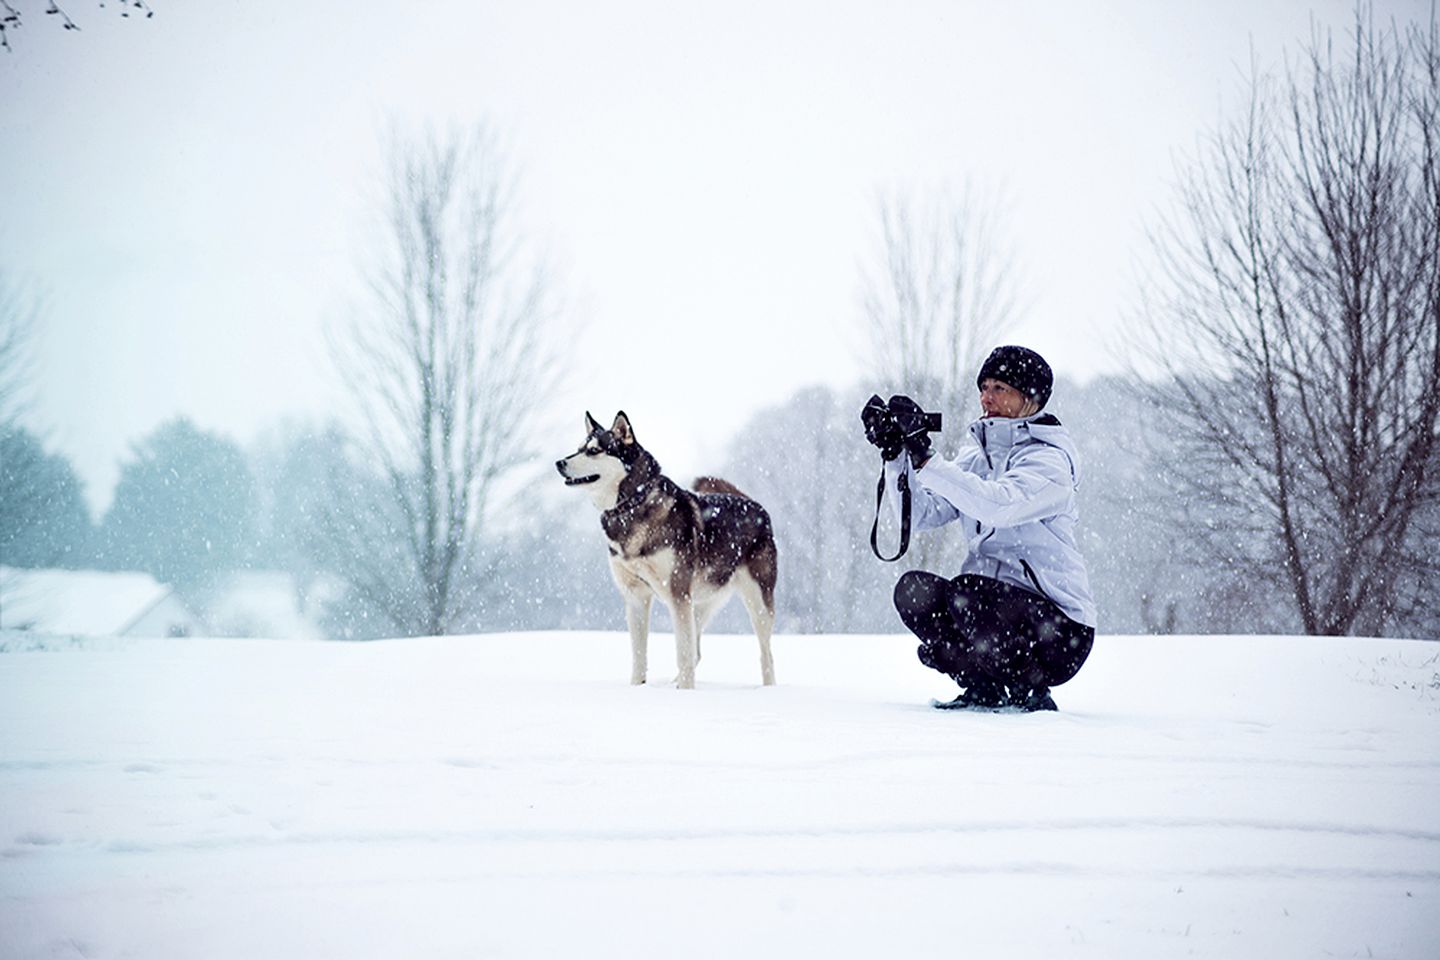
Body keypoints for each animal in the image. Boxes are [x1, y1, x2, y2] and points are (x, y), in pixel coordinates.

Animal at [555, 408, 777, 687]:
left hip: (756, 601)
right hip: (700, 603)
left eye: (594, 451)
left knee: (765, 655)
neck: (631, 506)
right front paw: (638, 687)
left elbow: (682, 653)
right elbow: (640, 655)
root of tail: (756, 505)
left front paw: (685, 692)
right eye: (579, 449)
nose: (559, 463)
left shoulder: (677, 593)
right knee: (696, 651)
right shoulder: (636, 595)